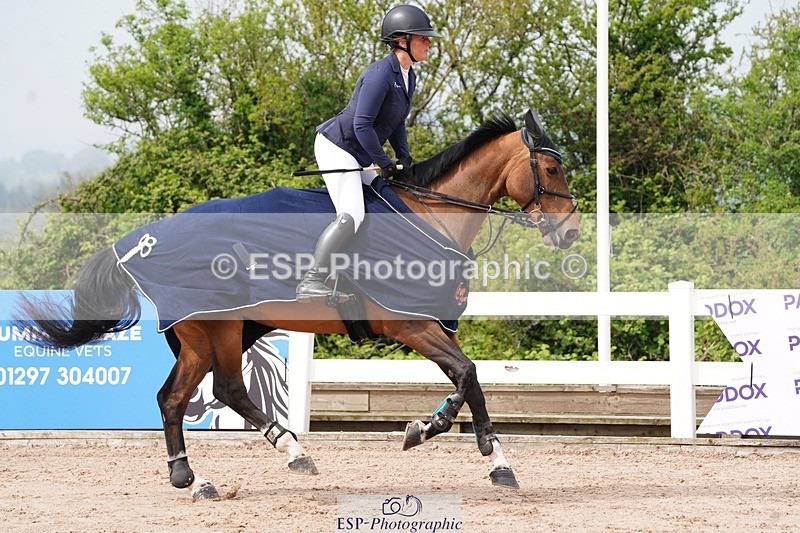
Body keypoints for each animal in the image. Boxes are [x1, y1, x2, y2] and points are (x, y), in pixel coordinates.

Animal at [17, 109, 579, 499]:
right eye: (552, 167)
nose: (571, 232)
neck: (432, 214)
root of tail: (139, 241)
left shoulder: (431, 324)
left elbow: (468, 380)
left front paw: (445, 437)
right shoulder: (410, 324)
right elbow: (468, 374)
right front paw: (473, 449)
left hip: (214, 334)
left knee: (187, 395)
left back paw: (197, 475)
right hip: (214, 326)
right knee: (210, 391)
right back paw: (281, 454)